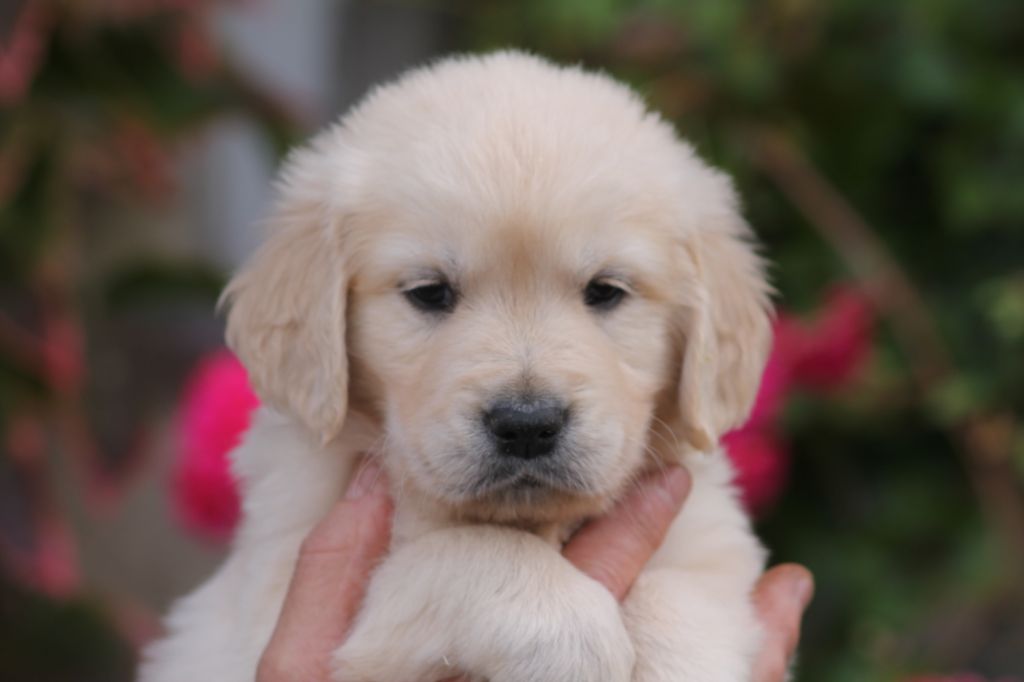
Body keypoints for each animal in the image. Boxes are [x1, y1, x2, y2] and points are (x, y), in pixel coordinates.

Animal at [142, 50, 770, 675]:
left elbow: (683, 595)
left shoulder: (708, 538)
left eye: (606, 291)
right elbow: (464, 554)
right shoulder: (281, 593)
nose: (527, 425)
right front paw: (574, 629)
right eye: (429, 292)